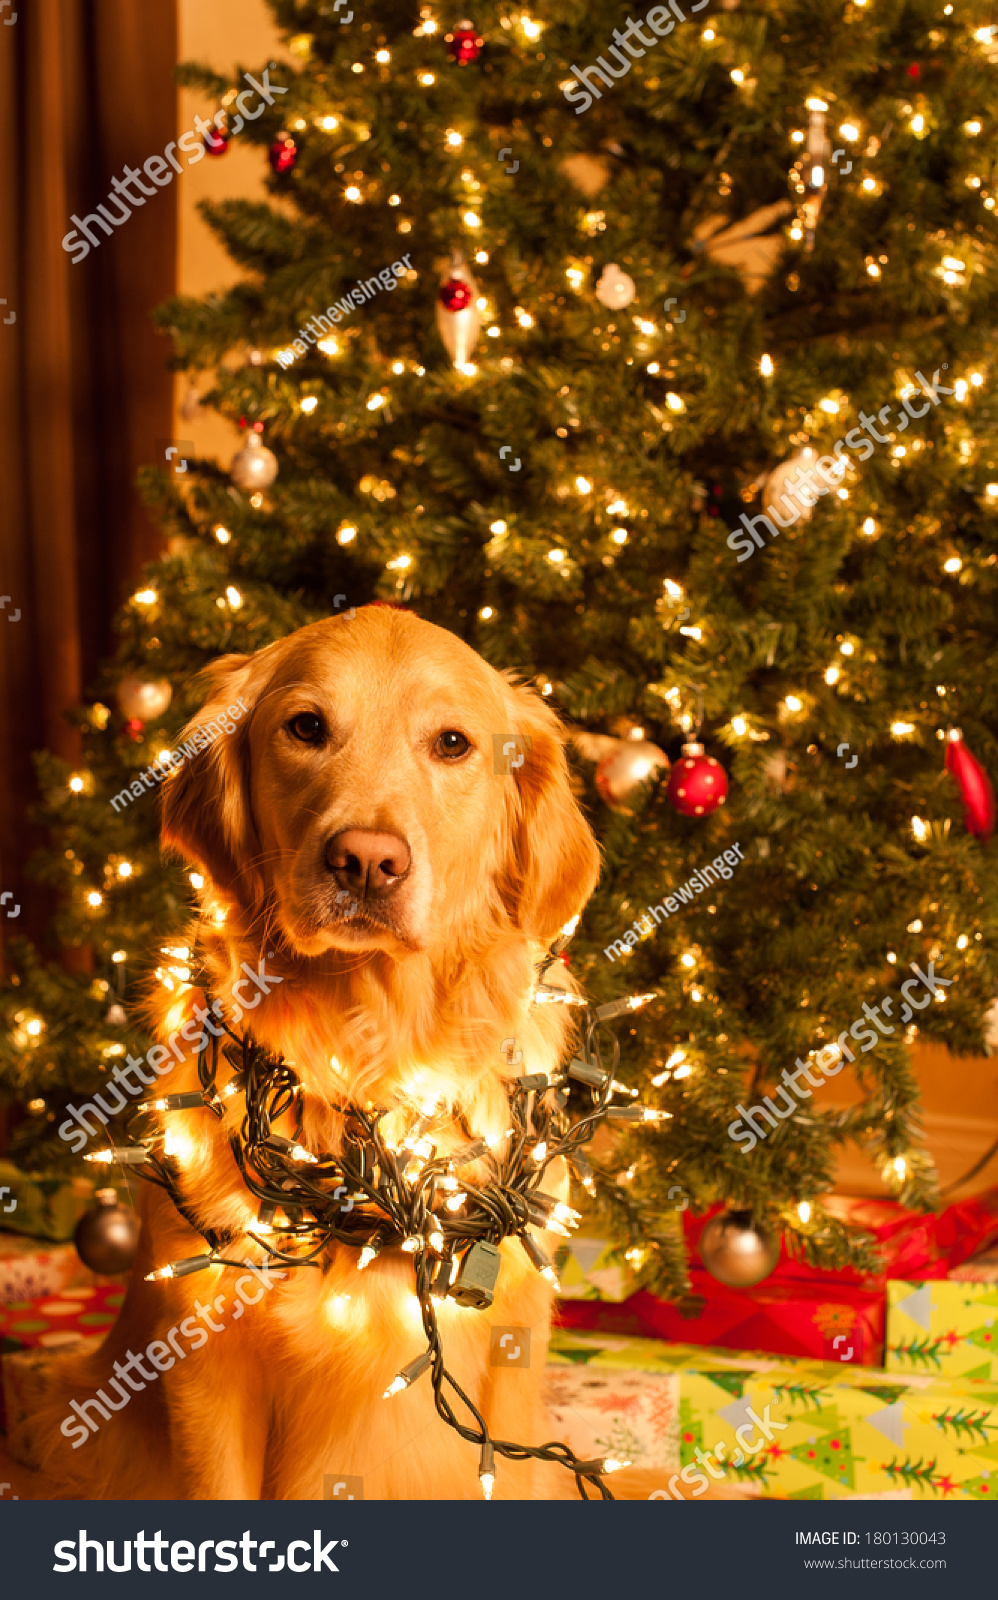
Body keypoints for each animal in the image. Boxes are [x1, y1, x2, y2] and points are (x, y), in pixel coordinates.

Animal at [33, 601, 601, 1497]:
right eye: (306, 727)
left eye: (452, 743)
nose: (366, 862)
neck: (373, 1049)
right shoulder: (208, 1362)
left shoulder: (512, 1357)